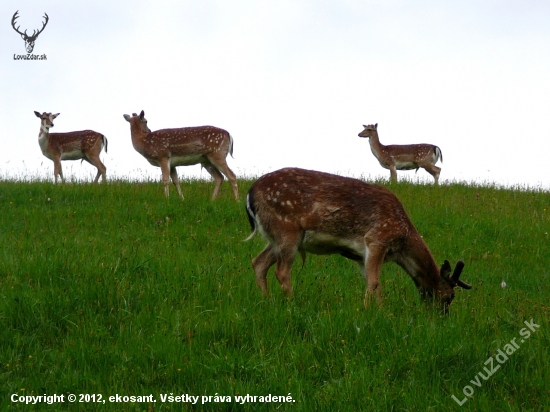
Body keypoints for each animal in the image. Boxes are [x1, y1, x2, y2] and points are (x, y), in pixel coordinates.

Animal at [248, 167, 472, 312]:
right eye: (449, 296)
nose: (442, 316)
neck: (402, 241)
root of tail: (250, 194)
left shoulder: (360, 256)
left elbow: (374, 283)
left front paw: (380, 312)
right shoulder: (377, 239)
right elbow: (374, 282)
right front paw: (370, 312)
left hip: (275, 237)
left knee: (258, 262)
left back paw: (267, 300)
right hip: (287, 230)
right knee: (281, 271)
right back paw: (291, 303)